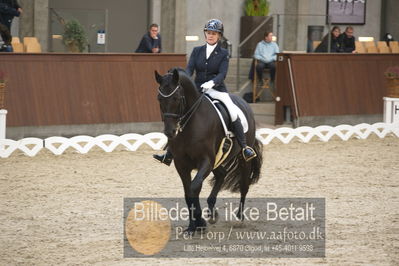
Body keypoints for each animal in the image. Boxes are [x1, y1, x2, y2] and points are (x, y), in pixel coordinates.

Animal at [155, 67, 264, 234]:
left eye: (177, 98)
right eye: (159, 99)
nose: (170, 132)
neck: (191, 124)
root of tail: (243, 102)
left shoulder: (205, 161)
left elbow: (194, 187)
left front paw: (199, 222)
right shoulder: (181, 164)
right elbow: (188, 193)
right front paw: (193, 226)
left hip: (242, 159)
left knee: (244, 186)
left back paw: (239, 217)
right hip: (218, 160)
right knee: (221, 175)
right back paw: (212, 211)